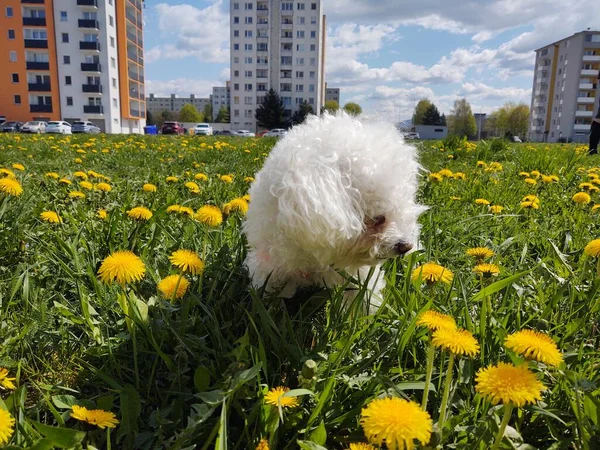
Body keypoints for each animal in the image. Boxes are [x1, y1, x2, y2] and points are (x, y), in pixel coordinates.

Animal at [241, 111, 424, 312]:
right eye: (378, 219)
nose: (405, 246)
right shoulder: (269, 266)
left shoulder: (358, 271)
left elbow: (363, 295)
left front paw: (366, 314)